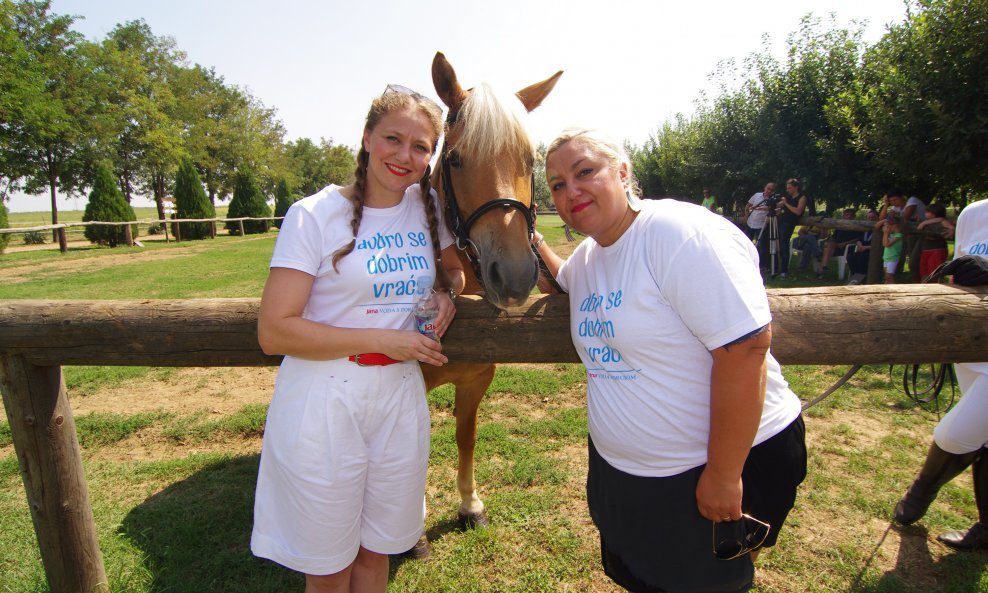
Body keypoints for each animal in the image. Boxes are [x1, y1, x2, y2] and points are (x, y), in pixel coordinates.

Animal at [418, 53, 564, 536]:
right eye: (456, 159)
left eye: (528, 159)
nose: (516, 274)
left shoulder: (476, 380)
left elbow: (466, 437)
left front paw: (470, 503)